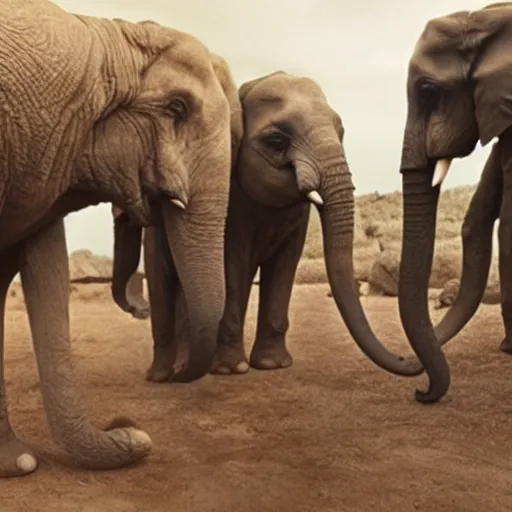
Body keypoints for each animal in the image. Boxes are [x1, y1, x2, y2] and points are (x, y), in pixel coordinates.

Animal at [114, 71, 426, 384]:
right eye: (276, 140)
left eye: (342, 133)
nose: (408, 360)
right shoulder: (230, 201)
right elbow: (232, 265)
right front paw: (231, 370)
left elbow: (285, 264)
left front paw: (272, 365)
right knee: (163, 279)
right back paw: (165, 374)